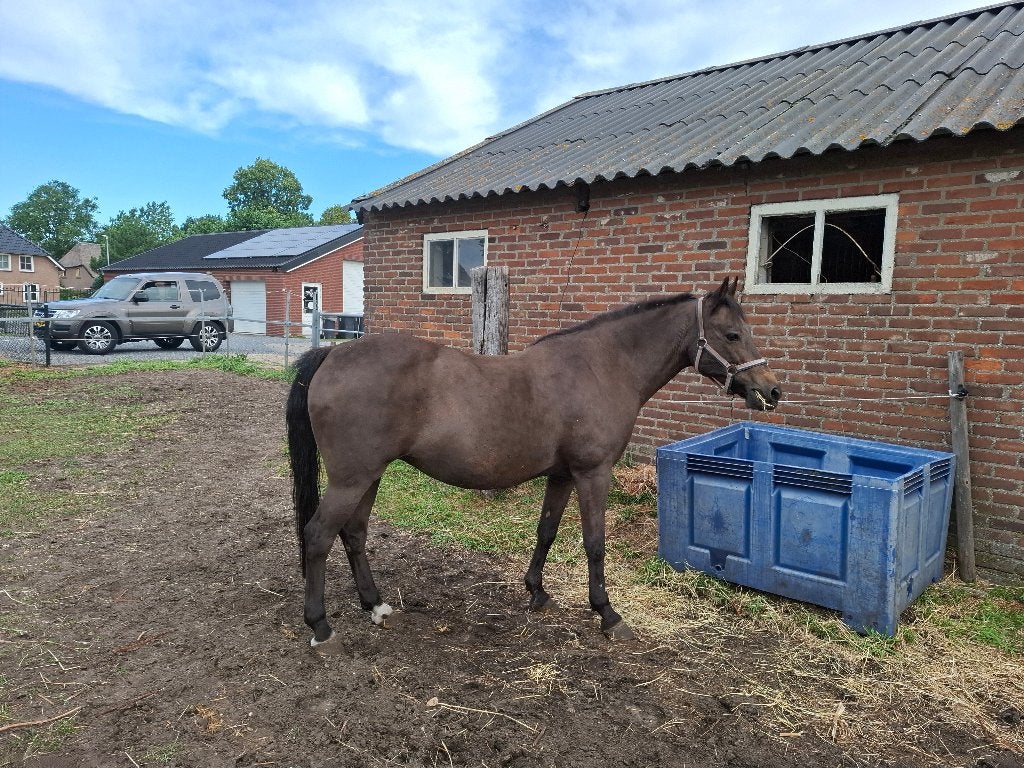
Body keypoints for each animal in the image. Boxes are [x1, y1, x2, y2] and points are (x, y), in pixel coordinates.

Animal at [286, 277, 781, 647]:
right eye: (732, 335)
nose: (772, 391)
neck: (603, 367)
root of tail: (333, 351)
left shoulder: (562, 475)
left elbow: (546, 531)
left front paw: (537, 592)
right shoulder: (593, 474)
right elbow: (594, 543)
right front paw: (607, 613)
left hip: (369, 476)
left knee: (353, 533)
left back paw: (375, 605)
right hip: (351, 479)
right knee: (318, 535)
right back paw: (320, 626)